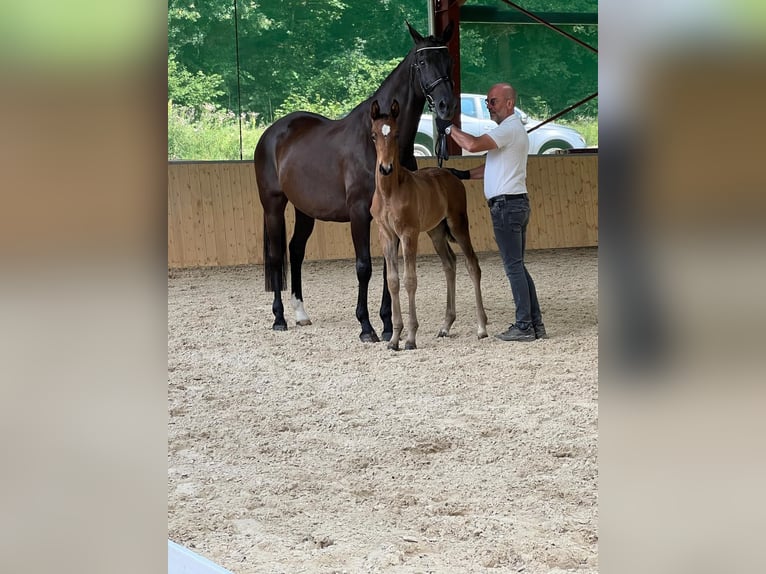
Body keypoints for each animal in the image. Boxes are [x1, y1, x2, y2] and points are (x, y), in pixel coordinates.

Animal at [254, 21, 456, 343]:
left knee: (295, 251)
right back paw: (280, 318)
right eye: (423, 61)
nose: (446, 105)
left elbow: (389, 267)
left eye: (448, 60)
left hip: (305, 210)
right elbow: (364, 266)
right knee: (276, 255)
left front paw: (388, 326)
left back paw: (301, 314)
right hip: (273, 205)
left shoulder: (391, 216)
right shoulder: (359, 213)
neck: (376, 144)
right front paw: (366, 327)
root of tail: (272, 133)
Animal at [369, 99, 488, 350]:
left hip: (458, 225)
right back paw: (445, 326)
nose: (385, 168)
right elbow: (392, 281)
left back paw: (482, 327)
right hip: (436, 232)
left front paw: (410, 338)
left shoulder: (408, 234)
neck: (390, 192)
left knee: (472, 265)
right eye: (374, 135)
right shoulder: (386, 234)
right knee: (449, 264)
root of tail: (451, 175)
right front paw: (394, 338)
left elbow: (410, 280)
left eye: (396, 134)